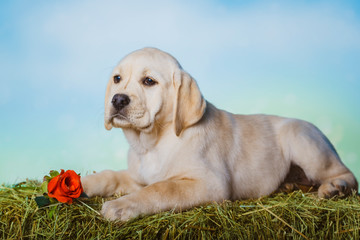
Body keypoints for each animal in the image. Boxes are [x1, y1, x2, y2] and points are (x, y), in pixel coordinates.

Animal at [82, 47, 358, 221]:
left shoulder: (210, 184)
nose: (118, 100)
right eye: (117, 79)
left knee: (347, 175)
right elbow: (109, 176)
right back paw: (289, 184)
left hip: (302, 140)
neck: (154, 142)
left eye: (149, 81)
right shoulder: (137, 177)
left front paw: (121, 205)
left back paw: (335, 188)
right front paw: (81, 183)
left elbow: (161, 189)